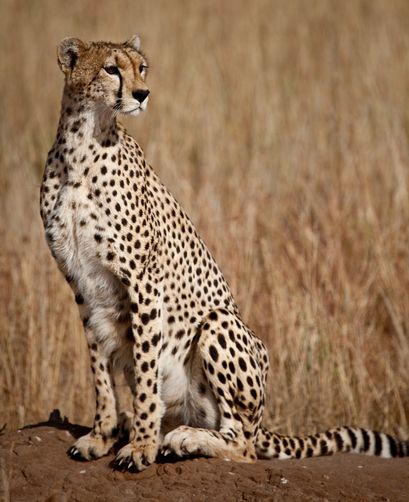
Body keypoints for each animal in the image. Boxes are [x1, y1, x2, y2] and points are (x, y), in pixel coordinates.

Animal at [39, 35, 406, 470]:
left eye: (141, 68)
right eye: (111, 69)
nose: (143, 94)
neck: (82, 145)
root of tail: (263, 422)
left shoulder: (143, 281)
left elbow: (146, 375)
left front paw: (141, 447)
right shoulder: (83, 286)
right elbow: (100, 372)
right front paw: (101, 435)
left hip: (219, 325)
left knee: (243, 444)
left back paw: (182, 439)